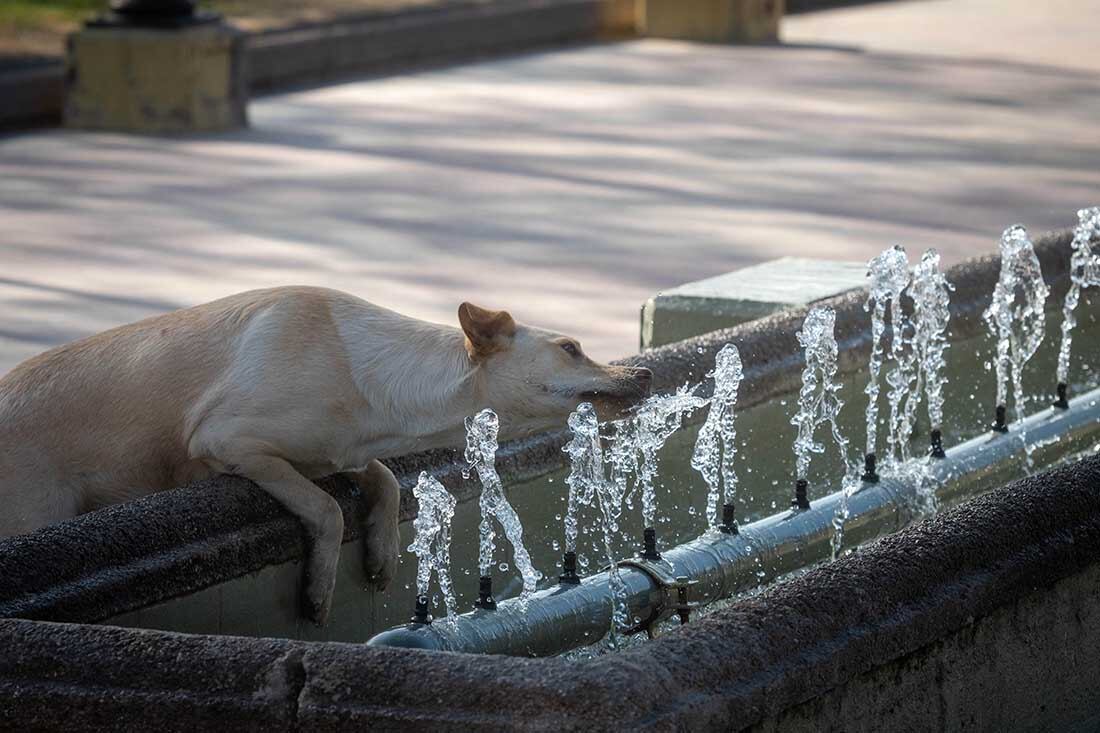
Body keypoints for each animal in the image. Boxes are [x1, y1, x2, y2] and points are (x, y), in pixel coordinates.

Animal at [0, 288, 651, 620]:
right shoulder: (225, 442)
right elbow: (327, 508)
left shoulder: (345, 450)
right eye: (571, 347)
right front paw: (319, 592)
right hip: (34, 512)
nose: (644, 372)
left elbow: (385, 481)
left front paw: (383, 557)